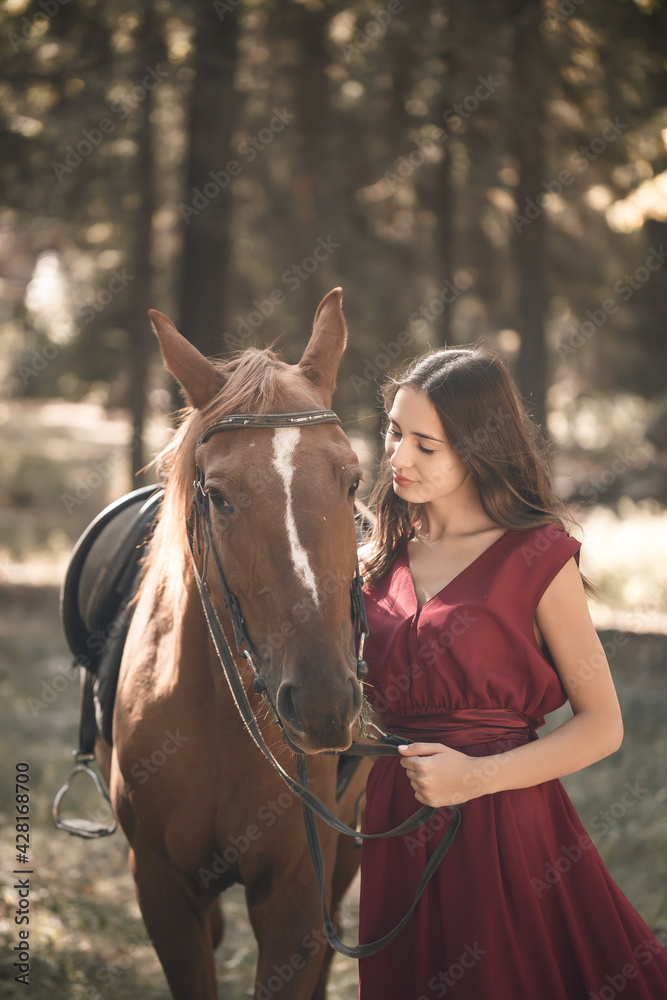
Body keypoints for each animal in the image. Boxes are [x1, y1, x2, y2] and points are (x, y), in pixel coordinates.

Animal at [94, 288, 373, 999]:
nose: (325, 702)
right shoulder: (163, 890)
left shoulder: (297, 898)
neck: (223, 717)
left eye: (353, 481)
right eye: (217, 496)